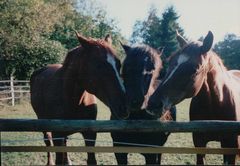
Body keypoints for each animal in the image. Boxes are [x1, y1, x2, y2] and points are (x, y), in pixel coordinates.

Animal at [31, 32, 130, 165]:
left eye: (119, 64)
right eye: (99, 66)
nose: (124, 106)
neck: (73, 100)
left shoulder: (89, 134)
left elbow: (91, 160)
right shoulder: (57, 134)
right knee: (47, 140)